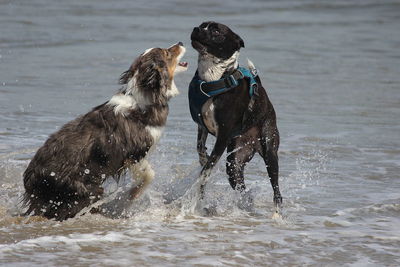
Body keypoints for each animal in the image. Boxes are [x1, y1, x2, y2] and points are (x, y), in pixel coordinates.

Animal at [22, 42, 188, 222]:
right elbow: (149, 175)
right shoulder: (134, 154)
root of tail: (31, 176)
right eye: (167, 53)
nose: (180, 43)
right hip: (83, 191)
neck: (142, 99)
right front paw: (131, 196)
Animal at [189, 21, 282, 214]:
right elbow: (200, 148)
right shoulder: (202, 126)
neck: (213, 77)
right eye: (202, 25)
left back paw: (277, 215)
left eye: (216, 31)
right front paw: (203, 158)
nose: (196, 29)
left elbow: (206, 171)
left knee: (276, 190)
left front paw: (200, 184)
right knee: (242, 189)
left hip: (270, 152)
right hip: (235, 162)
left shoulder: (223, 137)